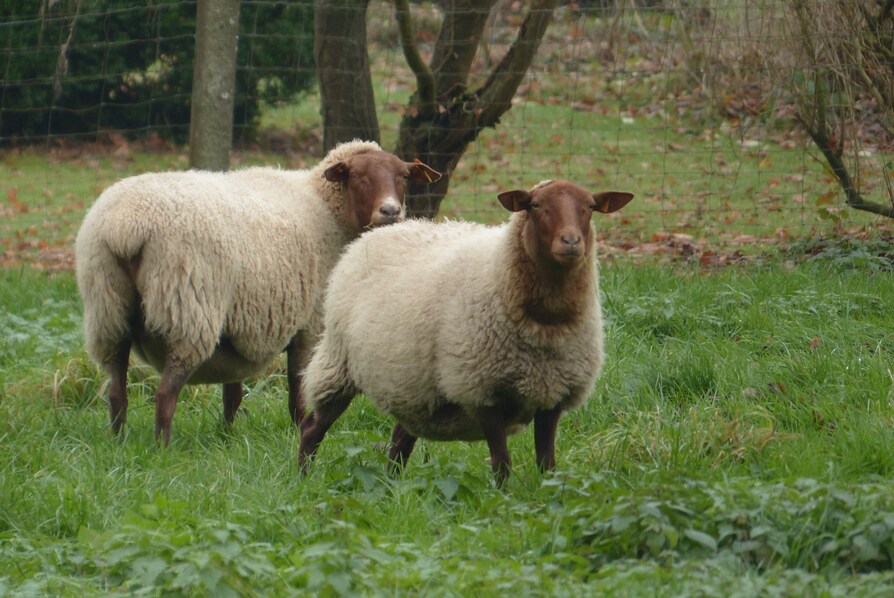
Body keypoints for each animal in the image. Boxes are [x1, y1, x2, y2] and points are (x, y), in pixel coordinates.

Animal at [74, 138, 444, 442]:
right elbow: (296, 392)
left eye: (404, 176)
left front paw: (226, 438)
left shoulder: (237, 328)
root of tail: (125, 226)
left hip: (109, 306)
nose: (391, 211)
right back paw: (160, 448)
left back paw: (119, 441)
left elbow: (232, 394)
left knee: (116, 389)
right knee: (165, 393)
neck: (325, 207)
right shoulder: (309, 324)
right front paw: (294, 431)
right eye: (356, 176)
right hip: (188, 309)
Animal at [300, 179, 636, 488]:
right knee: (312, 428)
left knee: (399, 443)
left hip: (414, 389)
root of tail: (375, 234)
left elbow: (547, 464)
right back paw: (303, 480)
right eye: (535, 205)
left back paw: (391, 489)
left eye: (590, 207)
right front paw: (502, 501)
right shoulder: (481, 390)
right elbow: (502, 464)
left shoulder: (554, 395)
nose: (571, 241)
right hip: (338, 363)